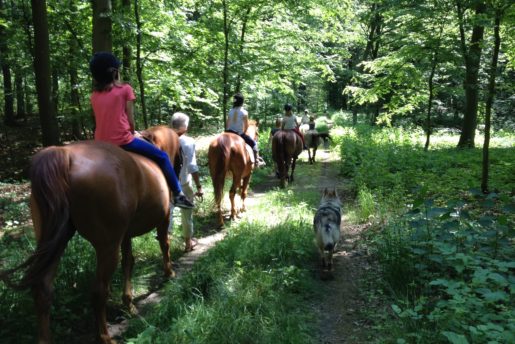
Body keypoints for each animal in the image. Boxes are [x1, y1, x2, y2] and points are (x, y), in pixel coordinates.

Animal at [0, 125, 180, 344]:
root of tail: (64, 156)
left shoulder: (125, 234)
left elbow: (129, 261)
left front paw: (128, 304)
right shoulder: (163, 218)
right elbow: (164, 244)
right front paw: (169, 273)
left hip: (55, 240)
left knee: (42, 289)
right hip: (106, 246)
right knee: (99, 291)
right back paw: (104, 337)